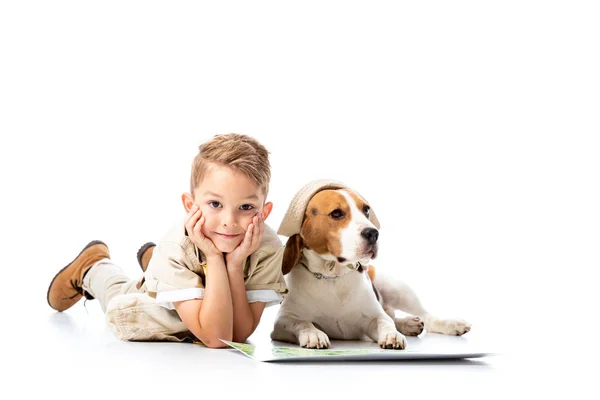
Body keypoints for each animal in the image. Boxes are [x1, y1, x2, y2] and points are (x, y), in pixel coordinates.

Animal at [270, 180, 472, 348]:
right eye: (336, 213)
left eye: (366, 210)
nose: (373, 233)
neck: (332, 276)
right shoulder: (282, 323)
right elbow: (303, 323)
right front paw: (314, 334)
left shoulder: (373, 317)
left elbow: (385, 322)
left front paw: (392, 335)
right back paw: (409, 324)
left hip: (396, 287)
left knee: (424, 317)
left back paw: (449, 324)